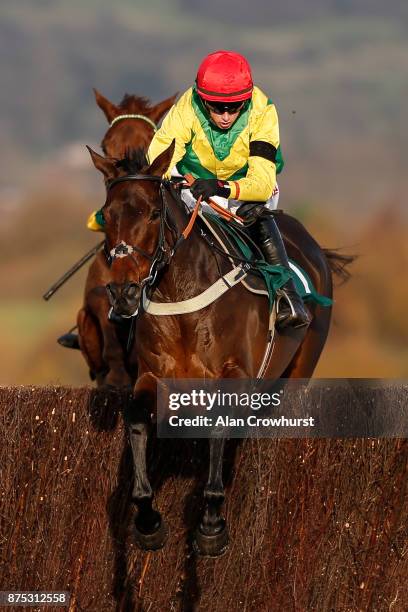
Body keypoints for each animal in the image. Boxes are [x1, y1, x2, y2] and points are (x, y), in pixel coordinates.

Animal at [86, 142, 354, 556]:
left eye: (153, 213)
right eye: (108, 216)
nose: (123, 292)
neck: (180, 295)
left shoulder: (233, 376)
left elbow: (217, 427)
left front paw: (211, 525)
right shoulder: (153, 376)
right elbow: (136, 421)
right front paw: (148, 521)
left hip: (298, 370)